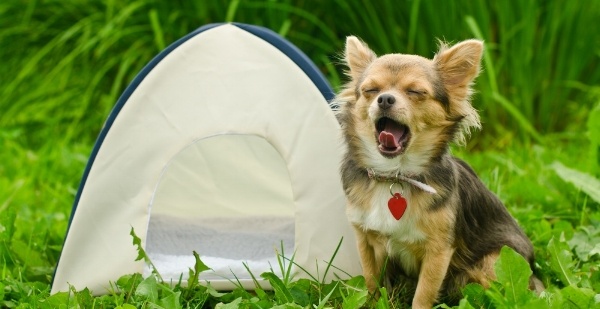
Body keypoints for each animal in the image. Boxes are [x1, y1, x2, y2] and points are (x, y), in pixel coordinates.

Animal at [336, 36, 540, 306]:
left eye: (415, 92)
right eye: (371, 91)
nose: (385, 99)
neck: (396, 174)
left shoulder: (438, 251)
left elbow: (423, 293)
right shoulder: (366, 241)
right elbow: (372, 282)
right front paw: (373, 302)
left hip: (491, 263)